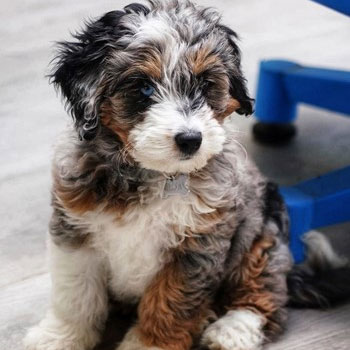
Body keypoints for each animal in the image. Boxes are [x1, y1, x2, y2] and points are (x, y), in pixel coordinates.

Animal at [23, 0, 350, 350]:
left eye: (206, 84)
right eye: (143, 88)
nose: (191, 140)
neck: (151, 173)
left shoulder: (196, 248)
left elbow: (169, 303)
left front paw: (148, 344)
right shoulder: (75, 232)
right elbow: (75, 294)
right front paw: (59, 336)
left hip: (262, 241)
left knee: (266, 297)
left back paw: (230, 330)